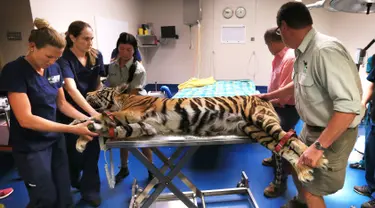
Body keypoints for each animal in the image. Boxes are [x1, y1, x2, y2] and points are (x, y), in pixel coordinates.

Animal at [72, 83, 330, 183]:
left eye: (100, 90)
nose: (86, 93)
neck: (123, 99)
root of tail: (262, 97)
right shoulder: (144, 126)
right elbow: (106, 126)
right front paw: (83, 135)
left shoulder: (131, 114)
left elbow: (98, 118)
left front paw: (81, 132)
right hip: (255, 130)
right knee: (283, 147)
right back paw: (303, 171)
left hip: (262, 119)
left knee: (291, 138)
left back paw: (318, 160)